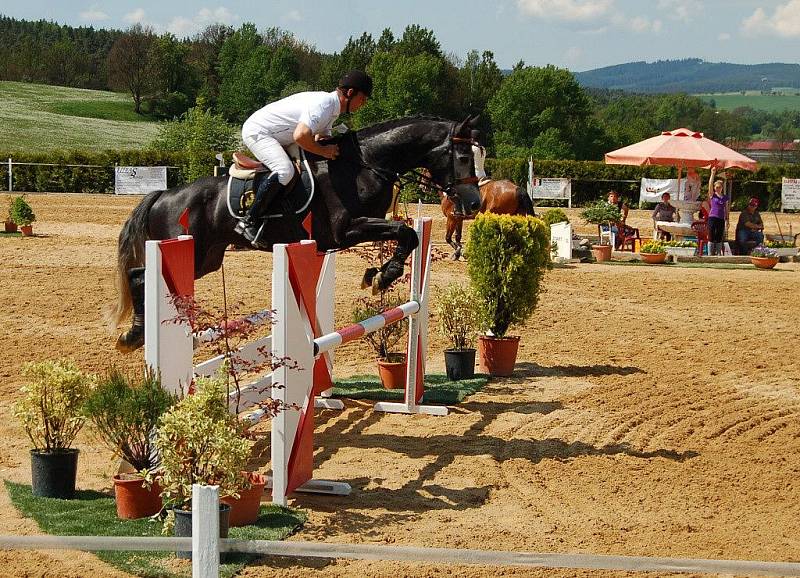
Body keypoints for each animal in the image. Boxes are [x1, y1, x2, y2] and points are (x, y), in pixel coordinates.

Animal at [111, 116, 482, 352]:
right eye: (464, 156)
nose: (475, 204)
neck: (364, 165)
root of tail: (164, 194)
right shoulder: (345, 230)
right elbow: (405, 232)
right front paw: (383, 277)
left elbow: (407, 236)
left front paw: (375, 274)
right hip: (186, 249)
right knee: (139, 274)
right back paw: (134, 335)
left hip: (206, 259)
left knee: (142, 275)